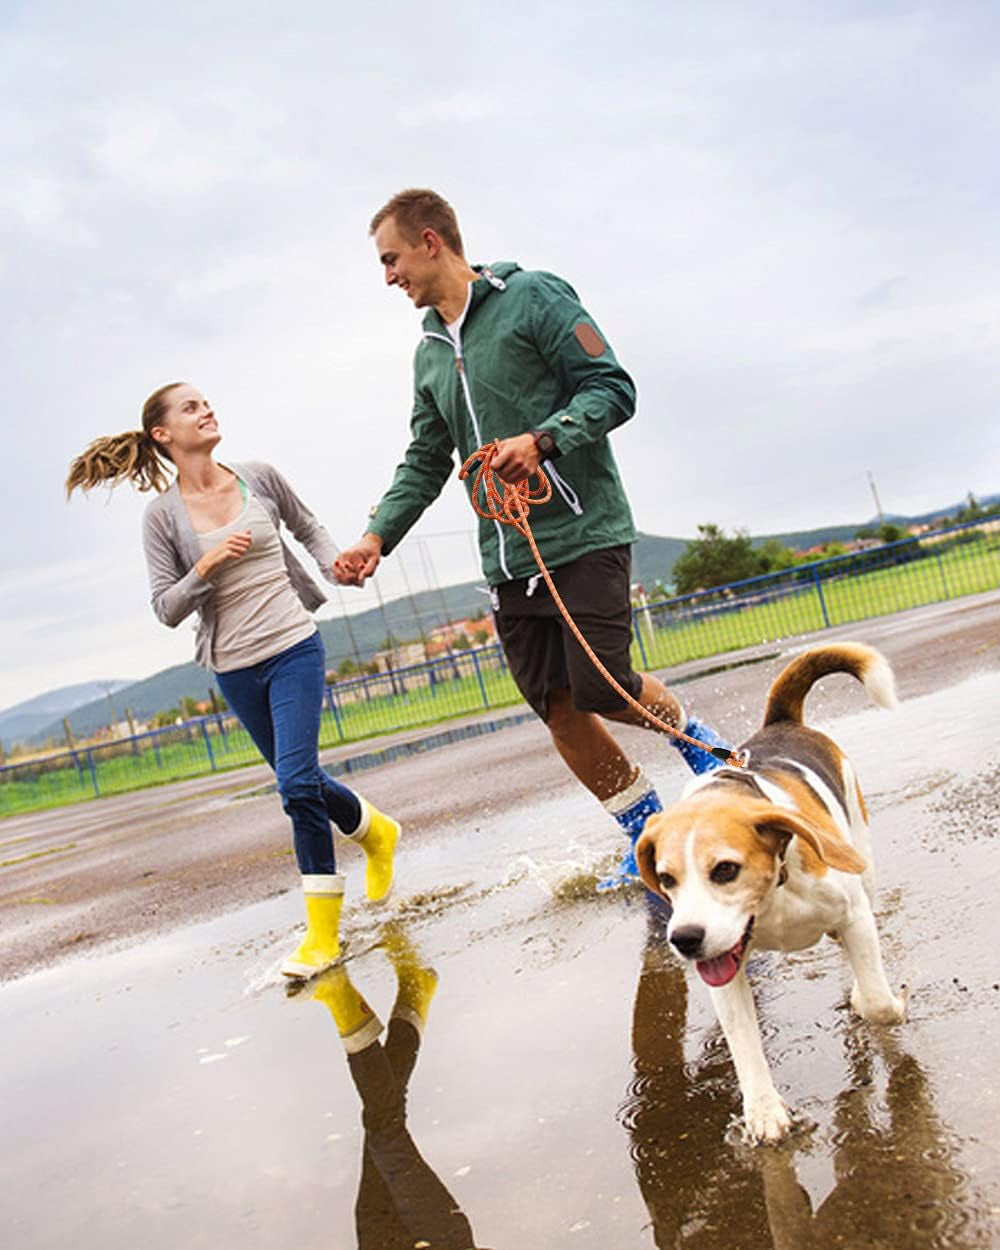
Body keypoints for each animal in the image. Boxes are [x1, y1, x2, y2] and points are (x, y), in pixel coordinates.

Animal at [640, 645, 905, 1145]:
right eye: (666, 879)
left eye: (725, 870)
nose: (684, 939)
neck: (771, 897)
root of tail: (779, 724)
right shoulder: (724, 970)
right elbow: (744, 1045)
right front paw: (764, 1112)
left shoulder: (854, 915)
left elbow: (880, 1005)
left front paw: (876, 1002)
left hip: (863, 862)